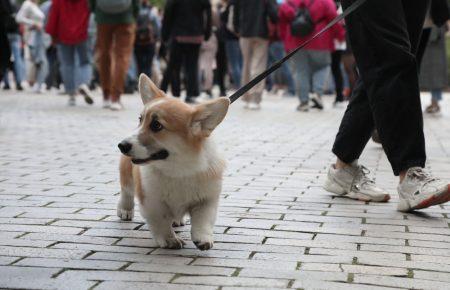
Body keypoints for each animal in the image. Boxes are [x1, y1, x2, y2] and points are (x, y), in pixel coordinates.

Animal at [117, 73, 229, 250]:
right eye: (140, 120)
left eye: (156, 125)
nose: (121, 145)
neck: (178, 169)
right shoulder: (152, 202)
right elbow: (161, 223)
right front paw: (170, 240)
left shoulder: (207, 200)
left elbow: (203, 221)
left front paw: (203, 238)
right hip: (127, 175)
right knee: (126, 191)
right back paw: (125, 210)